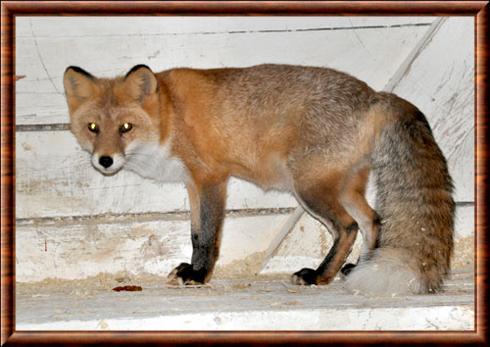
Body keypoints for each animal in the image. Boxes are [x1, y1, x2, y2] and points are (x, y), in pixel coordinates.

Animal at [63, 64, 454, 294]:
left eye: (125, 128)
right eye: (93, 128)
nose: (105, 160)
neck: (170, 116)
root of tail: (374, 95)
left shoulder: (211, 179)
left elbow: (208, 238)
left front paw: (199, 276)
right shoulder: (192, 184)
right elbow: (194, 234)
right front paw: (192, 269)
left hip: (309, 189)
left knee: (348, 227)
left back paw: (319, 276)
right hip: (341, 187)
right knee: (374, 220)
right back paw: (360, 268)